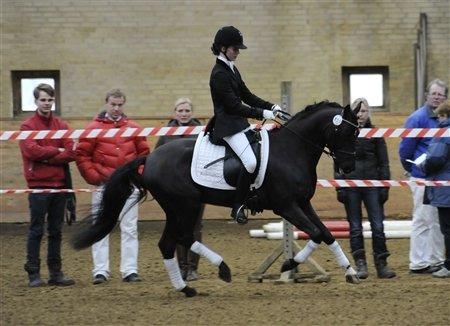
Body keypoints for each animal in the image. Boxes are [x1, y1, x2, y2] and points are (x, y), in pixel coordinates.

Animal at [75, 101, 360, 296]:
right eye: (346, 133)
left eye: (356, 134)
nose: (348, 168)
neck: (292, 150)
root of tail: (151, 157)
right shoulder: (286, 206)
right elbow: (315, 233)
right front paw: (288, 263)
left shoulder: (302, 203)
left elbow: (326, 234)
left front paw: (351, 272)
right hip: (186, 205)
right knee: (183, 238)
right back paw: (221, 269)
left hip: (176, 208)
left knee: (168, 243)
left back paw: (185, 289)